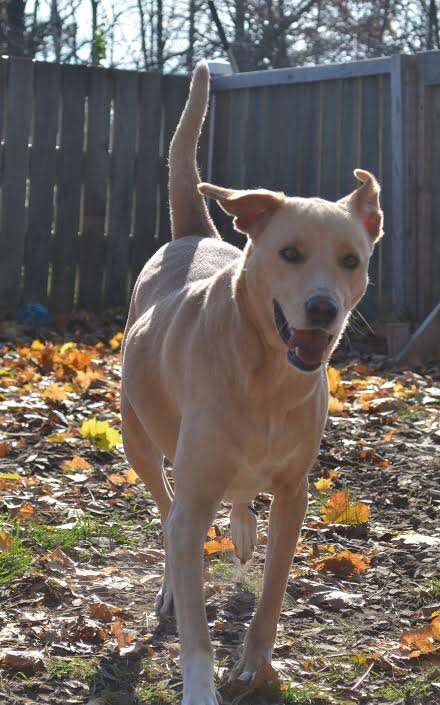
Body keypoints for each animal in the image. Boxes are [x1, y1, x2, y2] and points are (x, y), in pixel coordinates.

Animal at [122, 62, 384, 704]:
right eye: (289, 253)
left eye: (351, 260)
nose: (323, 309)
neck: (267, 378)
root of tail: (192, 235)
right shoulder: (193, 497)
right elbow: (194, 622)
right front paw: (200, 686)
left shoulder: (294, 494)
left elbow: (273, 592)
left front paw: (255, 665)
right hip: (138, 437)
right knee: (164, 505)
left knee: (237, 495)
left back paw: (241, 525)